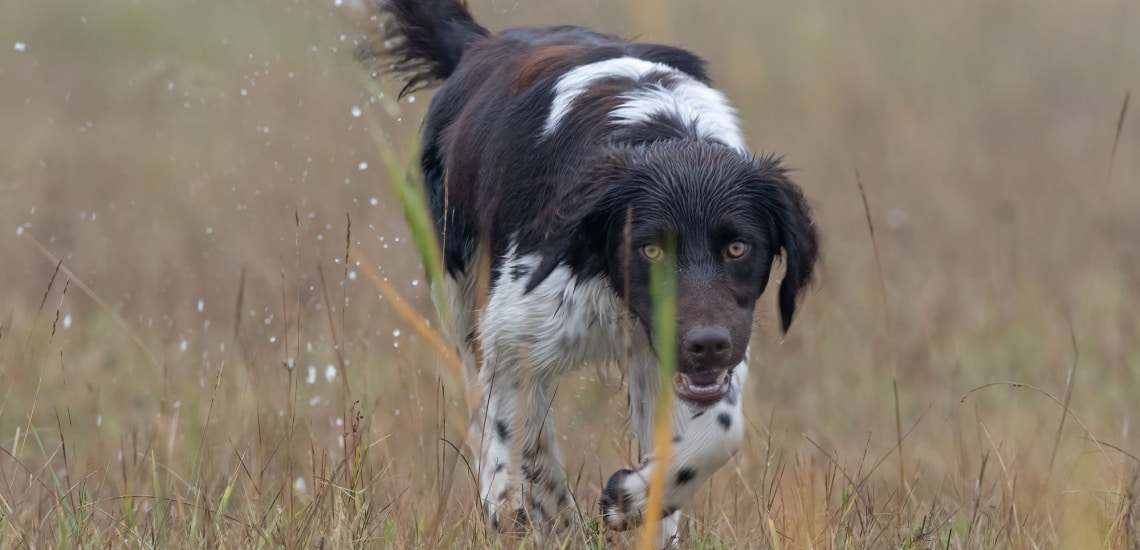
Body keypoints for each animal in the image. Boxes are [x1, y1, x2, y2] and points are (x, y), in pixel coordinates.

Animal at [360, 0, 816, 540]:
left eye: (739, 248)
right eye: (649, 250)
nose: (706, 345)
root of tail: (479, 45)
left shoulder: (707, 344)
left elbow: (719, 434)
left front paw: (631, 499)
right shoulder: (511, 329)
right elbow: (518, 438)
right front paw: (529, 506)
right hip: (459, 287)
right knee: (480, 398)